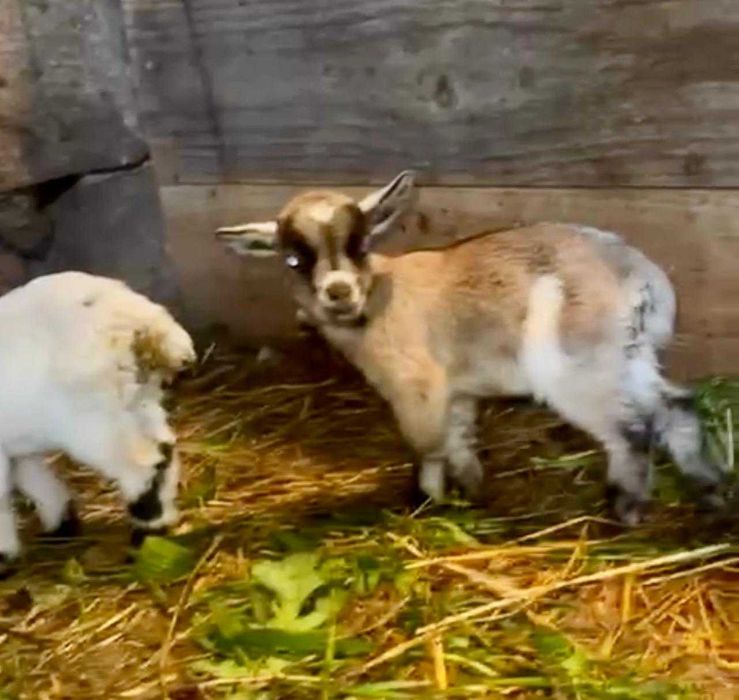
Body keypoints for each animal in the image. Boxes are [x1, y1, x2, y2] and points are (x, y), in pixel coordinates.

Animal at [0, 272, 195, 574]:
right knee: (164, 450)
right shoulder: (16, 445)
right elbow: (34, 479)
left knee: (142, 465)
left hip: (93, 421)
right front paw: (62, 525)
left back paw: (145, 535)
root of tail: (147, 326)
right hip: (135, 402)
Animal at [216, 172, 727, 525]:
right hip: (628, 355)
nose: (338, 292)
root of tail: (641, 277)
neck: (380, 296)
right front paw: (472, 494)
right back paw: (710, 491)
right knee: (675, 406)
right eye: (293, 259)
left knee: (631, 429)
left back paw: (626, 509)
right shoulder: (456, 393)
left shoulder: (417, 388)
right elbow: (459, 441)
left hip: (579, 365)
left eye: (359, 245)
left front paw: (427, 503)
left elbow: (427, 447)